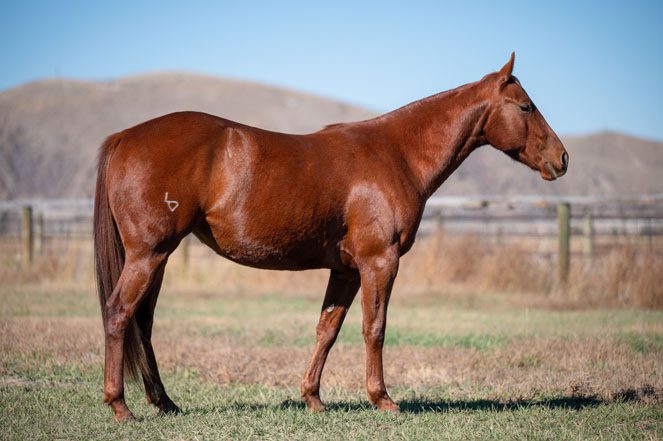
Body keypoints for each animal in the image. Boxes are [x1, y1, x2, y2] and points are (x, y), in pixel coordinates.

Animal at [94, 53, 568, 421]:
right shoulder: (380, 262)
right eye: (526, 107)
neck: (396, 154)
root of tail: (124, 137)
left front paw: (313, 398)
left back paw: (164, 403)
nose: (562, 159)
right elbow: (374, 328)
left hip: (158, 257)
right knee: (119, 314)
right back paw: (121, 406)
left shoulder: (346, 271)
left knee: (142, 322)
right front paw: (382, 399)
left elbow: (328, 329)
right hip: (149, 254)